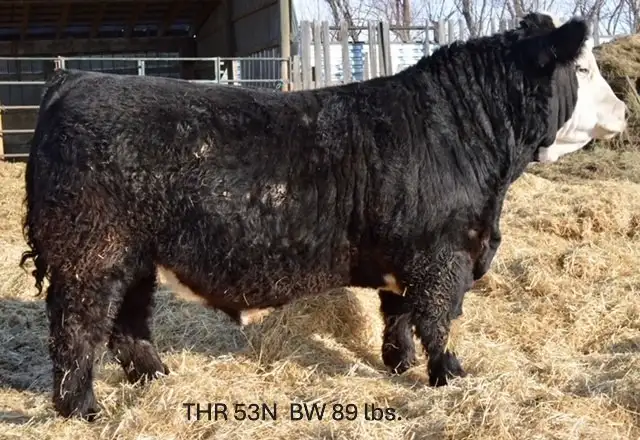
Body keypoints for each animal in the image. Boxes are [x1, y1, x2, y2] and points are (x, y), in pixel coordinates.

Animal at [19, 12, 624, 421]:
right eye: (585, 68)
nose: (622, 109)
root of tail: (76, 79)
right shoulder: (442, 255)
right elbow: (437, 319)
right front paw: (449, 375)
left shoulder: (404, 257)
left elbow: (398, 314)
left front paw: (399, 364)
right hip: (90, 254)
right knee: (78, 330)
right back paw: (82, 408)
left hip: (135, 258)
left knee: (127, 324)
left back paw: (156, 377)